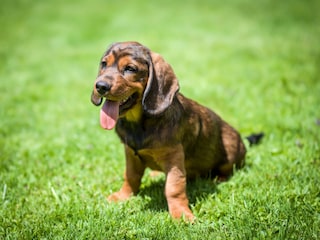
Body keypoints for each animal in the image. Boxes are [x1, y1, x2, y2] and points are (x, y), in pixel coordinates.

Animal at [91, 40, 246, 219]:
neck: (138, 123)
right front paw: (123, 196)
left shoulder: (174, 158)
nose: (100, 86)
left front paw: (181, 214)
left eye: (130, 68)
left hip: (230, 149)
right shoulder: (131, 154)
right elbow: (130, 177)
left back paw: (218, 178)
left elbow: (174, 188)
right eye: (104, 64)